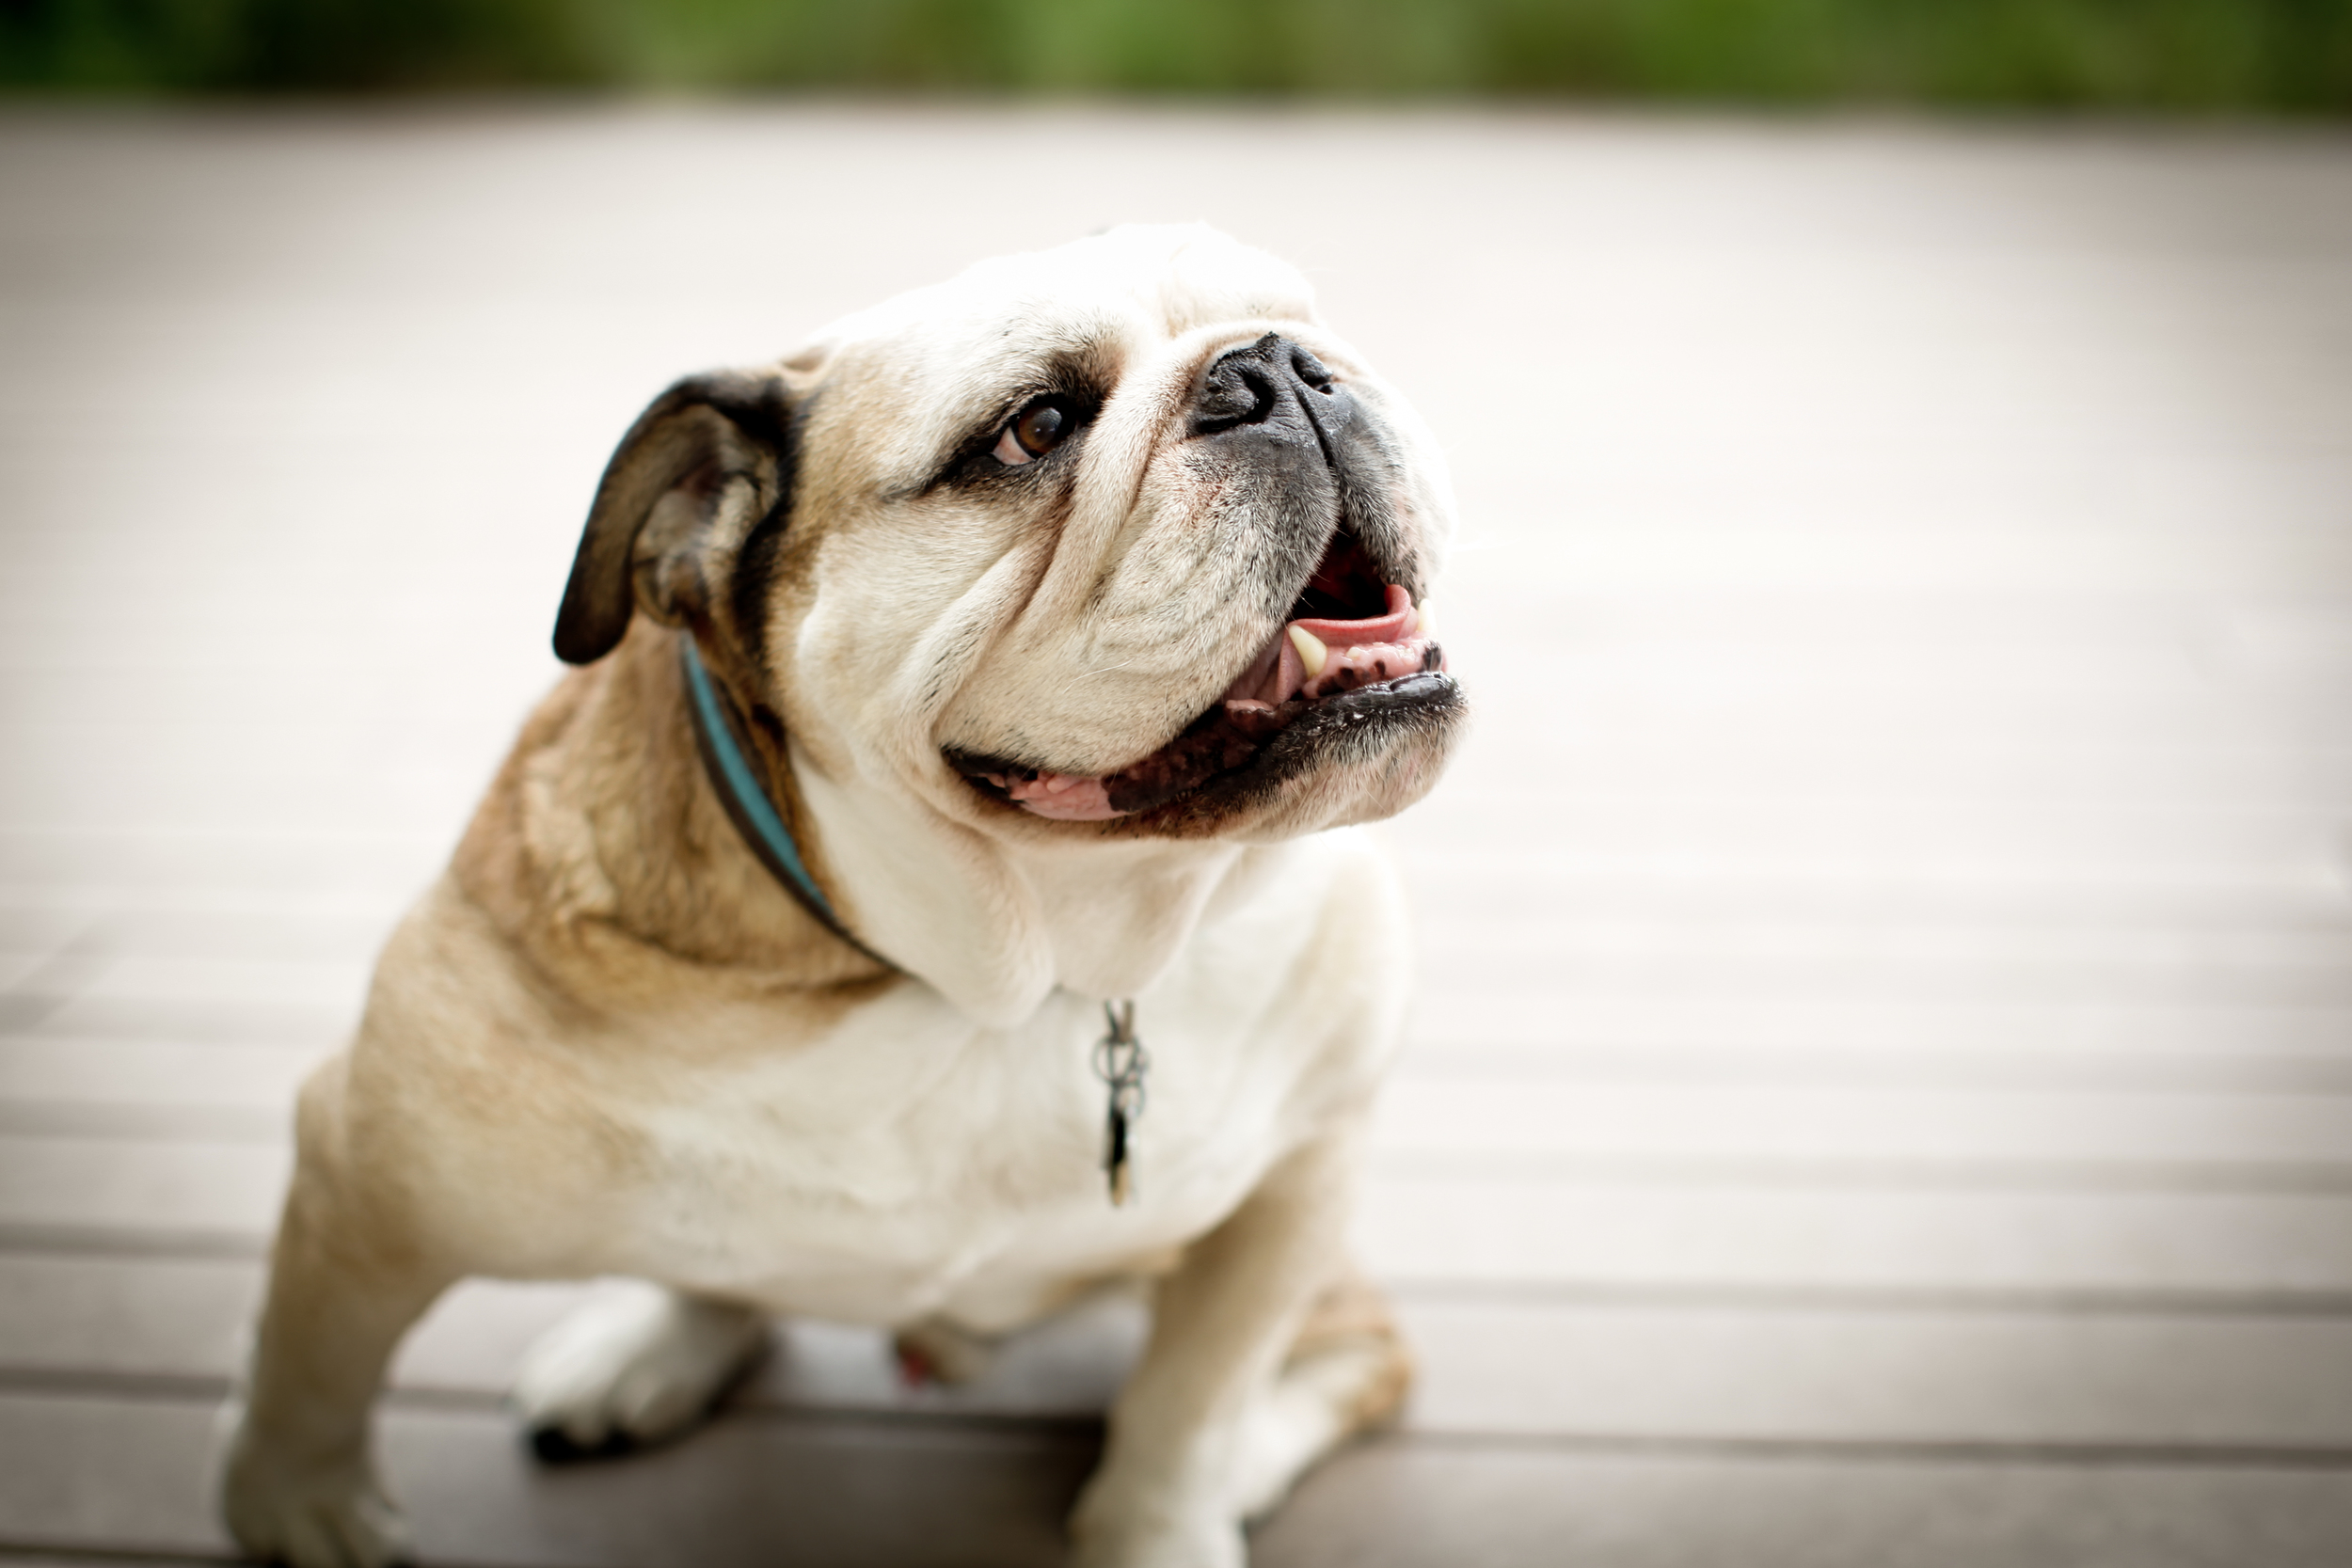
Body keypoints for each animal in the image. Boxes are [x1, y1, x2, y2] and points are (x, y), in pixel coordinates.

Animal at [224, 223, 1468, 1568]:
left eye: (1308, 322)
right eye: (1035, 427)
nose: (1281, 367)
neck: (1008, 973)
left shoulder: (1295, 1184)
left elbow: (1190, 1402)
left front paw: (1161, 1531)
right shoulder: (369, 1178)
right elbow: (312, 1368)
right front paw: (306, 1512)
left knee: (1361, 1352)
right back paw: (642, 1351)